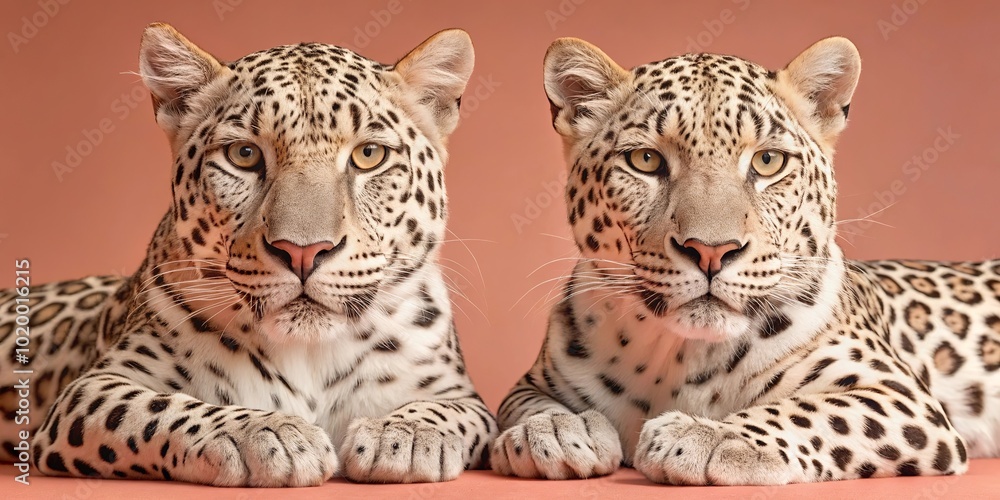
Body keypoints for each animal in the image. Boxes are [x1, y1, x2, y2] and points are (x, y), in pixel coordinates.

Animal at [0, 23, 497, 486]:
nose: (303, 252)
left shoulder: (464, 396)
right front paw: (269, 435)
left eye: (369, 155)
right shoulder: (89, 390)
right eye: (243, 154)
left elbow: (448, 410)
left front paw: (405, 436)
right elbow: (156, 408)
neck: (310, 355)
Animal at [492, 36, 1000, 485]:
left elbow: (810, 411)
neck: (680, 358)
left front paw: (710, 436)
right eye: (645, 160)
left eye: (768, 161)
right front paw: (555, 430)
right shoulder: (530, 382)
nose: (711, 251)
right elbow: (524, 406)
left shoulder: (900, 397)